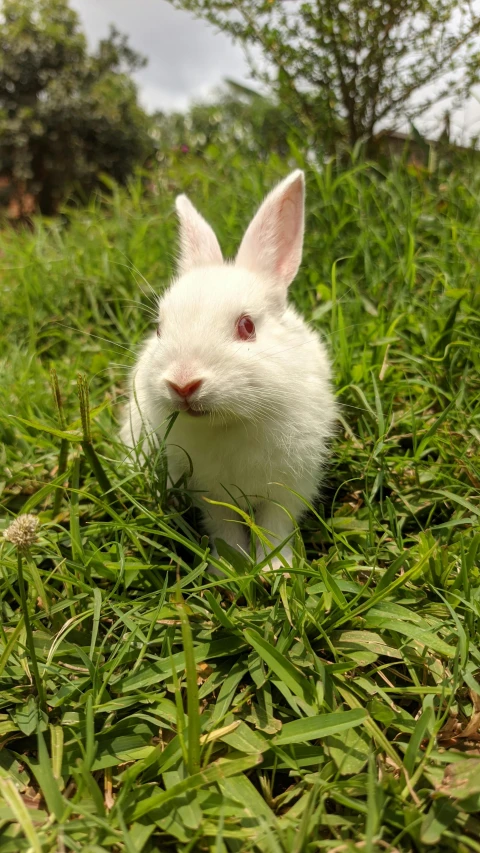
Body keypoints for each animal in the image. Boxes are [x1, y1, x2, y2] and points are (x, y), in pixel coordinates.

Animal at [122, 171, 336, 572]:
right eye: (159, 328)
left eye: (247, 326)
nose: (183, 383)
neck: (229, 421)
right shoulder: (211, 496)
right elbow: (225, 529)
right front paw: (230, 567)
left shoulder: (287, 488)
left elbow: (274, 526)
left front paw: (275, 570)